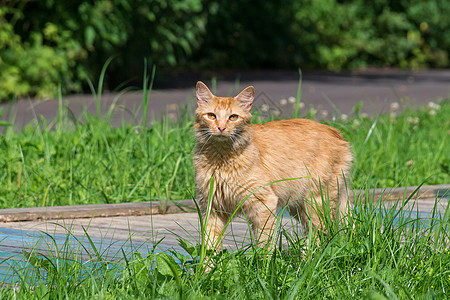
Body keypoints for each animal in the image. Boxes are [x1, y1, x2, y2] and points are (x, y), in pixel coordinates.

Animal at [195, 81, 354, 250]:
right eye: (211, 116)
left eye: (233, 117)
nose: (221, 128)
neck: (221, 158)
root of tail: (337, 132)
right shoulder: (212, 207)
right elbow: (210, 244)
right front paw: (209, 258)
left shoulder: (264, 202)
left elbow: (264, 243)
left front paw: (262, 258)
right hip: (300, 205)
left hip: (316, 200)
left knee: (321, 235)